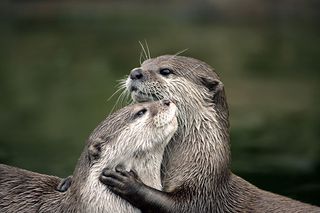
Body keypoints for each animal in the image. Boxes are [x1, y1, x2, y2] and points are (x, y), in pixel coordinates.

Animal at [100, 55, 320, 213]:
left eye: (165, 71)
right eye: (143, 64)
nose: (135, 72)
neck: (204, 161)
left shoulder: (203, 193)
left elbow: (178, 206)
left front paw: (128, 182)